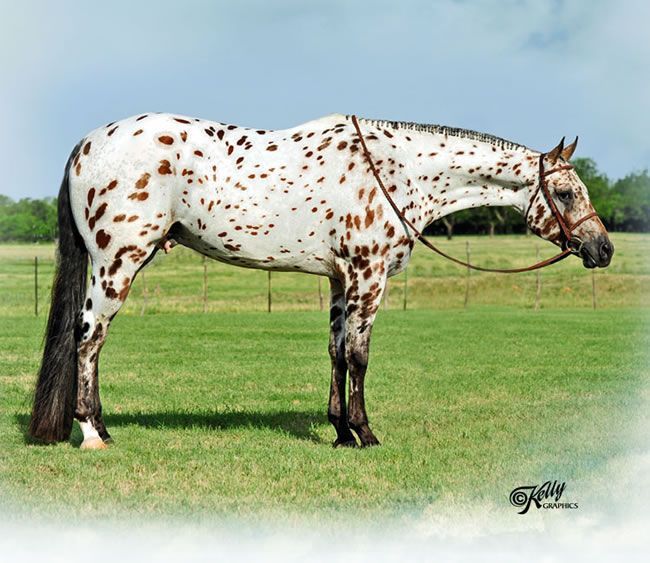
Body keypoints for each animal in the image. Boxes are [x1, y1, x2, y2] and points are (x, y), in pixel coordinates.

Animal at [30, 113, 612, 450]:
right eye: (565, 194)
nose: (602, 249)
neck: (396, 171)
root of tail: (87, 144)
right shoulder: (368, 276)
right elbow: (359, 356)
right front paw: (366, 433)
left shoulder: (339, 280)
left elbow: (335, 353)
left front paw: (338, 432)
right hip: (117, 263)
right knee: (88, 339)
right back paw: (91, 433)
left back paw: (103, 427)